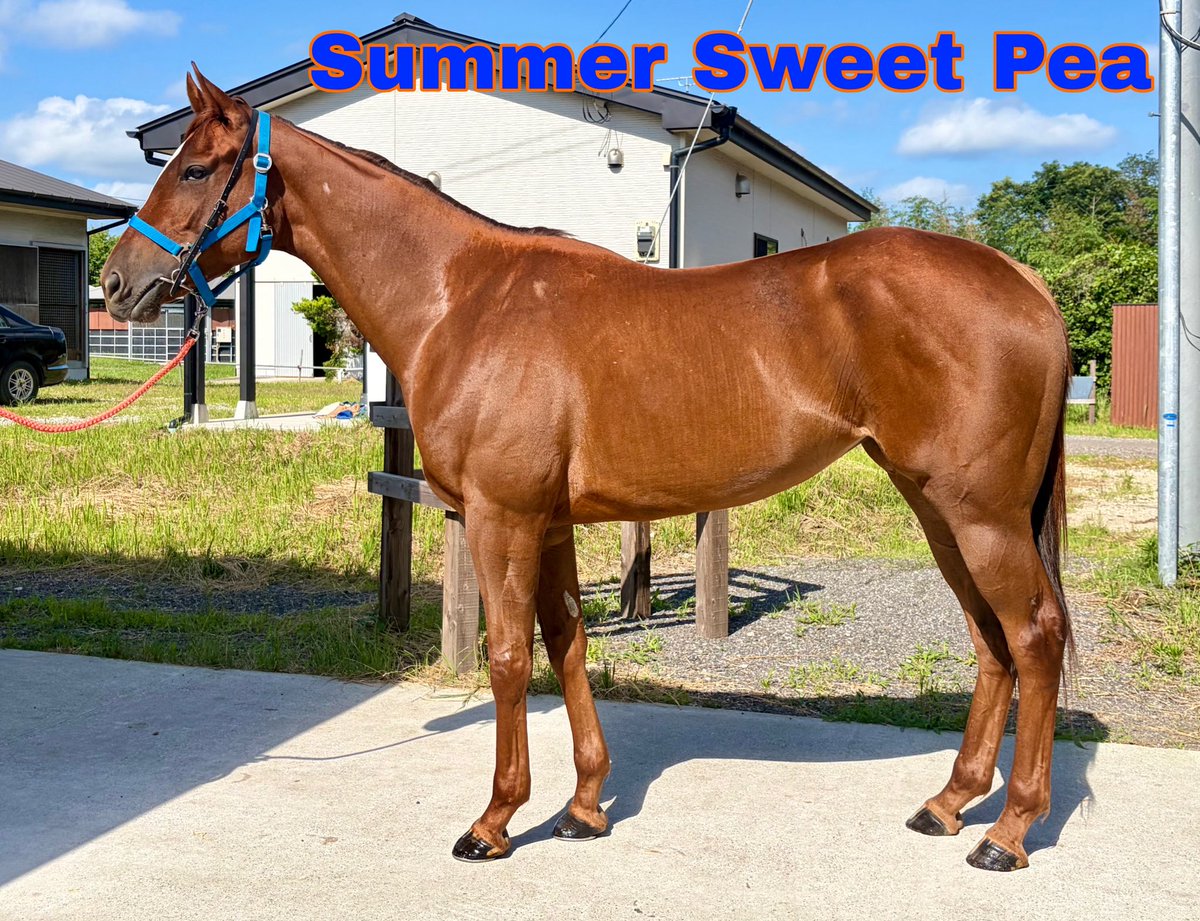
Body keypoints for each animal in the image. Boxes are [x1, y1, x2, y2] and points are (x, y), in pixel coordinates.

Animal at [102, 69, 1073, 872]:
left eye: (198, 169)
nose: (117, 284)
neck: (462, 299)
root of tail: (1024, 279)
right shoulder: (551, 522)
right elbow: (566, 641)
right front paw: (583, 807)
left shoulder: (501, 517)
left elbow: (506, 655)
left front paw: (494, 821)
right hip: (938, 508)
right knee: (991, 638)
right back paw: (949, 802)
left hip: (978, 513)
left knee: (1032, 634)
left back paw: (1008, 830)